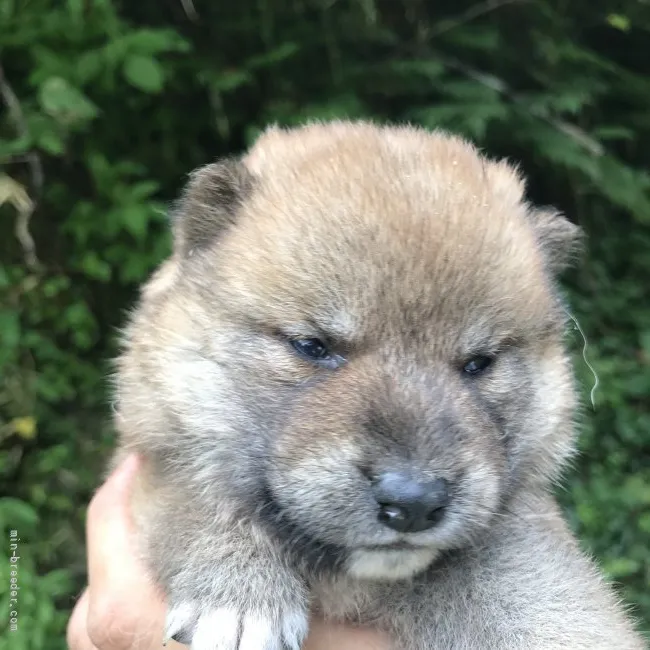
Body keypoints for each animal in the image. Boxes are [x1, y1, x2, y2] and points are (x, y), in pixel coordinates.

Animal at [111, 123, 644, 648]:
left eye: (479, 363)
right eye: (312, 345)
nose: (413, 503)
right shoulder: (154, 454)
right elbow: (193, 491)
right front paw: (240, 588)